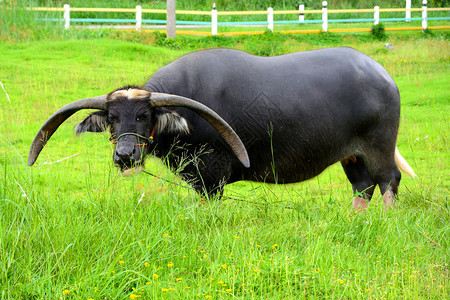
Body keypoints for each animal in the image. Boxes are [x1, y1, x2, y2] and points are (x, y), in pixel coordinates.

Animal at [27, 48, 414, 210]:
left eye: (144, 116)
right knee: (362, 187)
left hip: (379, 145)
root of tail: (384, 76)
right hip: (351, 155)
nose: (125, 155)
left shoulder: (212, 175)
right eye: (112, 118)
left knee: (388, 180)